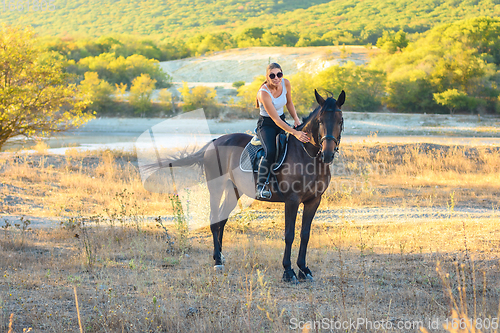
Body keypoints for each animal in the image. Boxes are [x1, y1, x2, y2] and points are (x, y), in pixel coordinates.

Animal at [146, 89, 346, 282]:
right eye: (320, 121)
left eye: (340, 120)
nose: (328, 153)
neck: (308, 156)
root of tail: (214, 142)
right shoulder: (292, 200)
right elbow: (289, 235)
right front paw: (288, 272)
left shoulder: (314, 200)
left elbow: (305, 235)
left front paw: (304, 269)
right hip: (216, 188)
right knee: (214, 219)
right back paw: (217, 262)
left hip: (233, 190)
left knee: (222, 218)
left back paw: (219, 256)